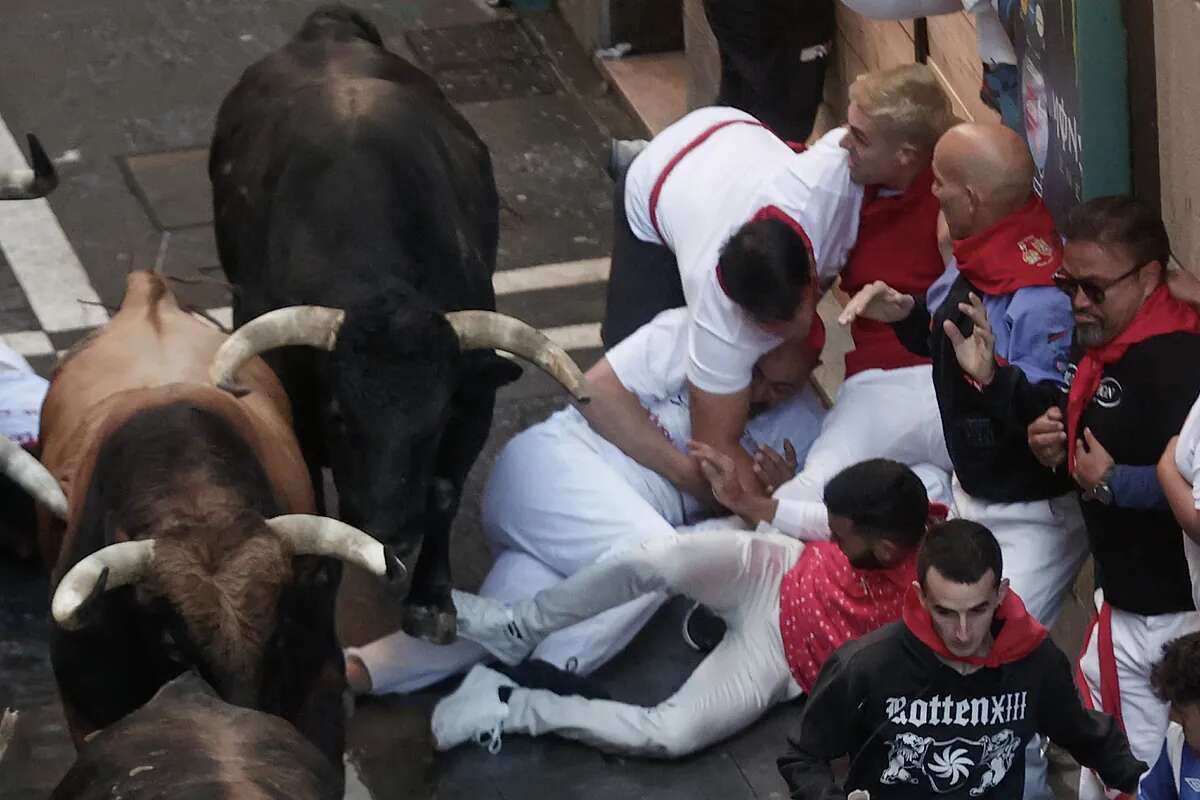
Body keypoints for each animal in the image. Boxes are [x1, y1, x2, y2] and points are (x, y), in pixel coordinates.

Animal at [211, 4, 590, 642]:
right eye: (340, 416)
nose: (389, 537)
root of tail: (327, 28)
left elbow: (443, 492)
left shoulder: (472, 405)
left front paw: (432, 598)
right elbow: (309, 479)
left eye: (434, 421)